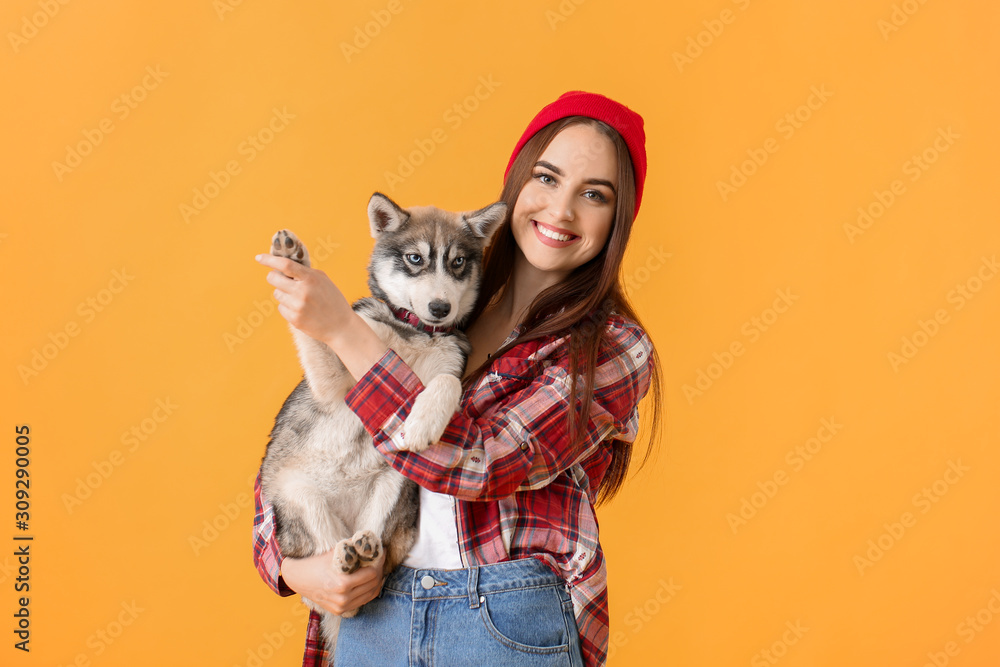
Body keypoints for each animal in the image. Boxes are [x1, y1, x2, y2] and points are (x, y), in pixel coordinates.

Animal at [260, 192, 504, 656]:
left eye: (458, 262)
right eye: (415, 258)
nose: (440, 309)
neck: (414, 334)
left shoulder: (450, 366)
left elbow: (447, 383)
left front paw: (425, 420)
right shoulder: (333, 382)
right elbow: (314, 338)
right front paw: (293, 260)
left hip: (394, 482)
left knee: (373, 559)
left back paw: (367, 549)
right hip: (296, 495)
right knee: (329, 589)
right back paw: (345, 559)